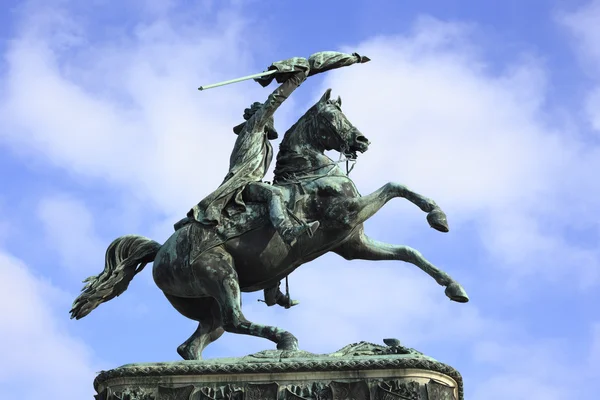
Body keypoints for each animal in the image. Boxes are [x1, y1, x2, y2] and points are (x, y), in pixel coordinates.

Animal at [70, 86, 468, 360]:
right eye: (332, 118)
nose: (362, 140)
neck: (309, 172)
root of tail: (159, 254)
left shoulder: (352, 244)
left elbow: (409, 252)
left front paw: (454, 285)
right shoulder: (345, 216)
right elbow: (394, 186)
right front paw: (436, 214)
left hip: (209, 305)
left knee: (194, 345)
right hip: (221, 275)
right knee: (235, 320)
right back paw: (285, 340)